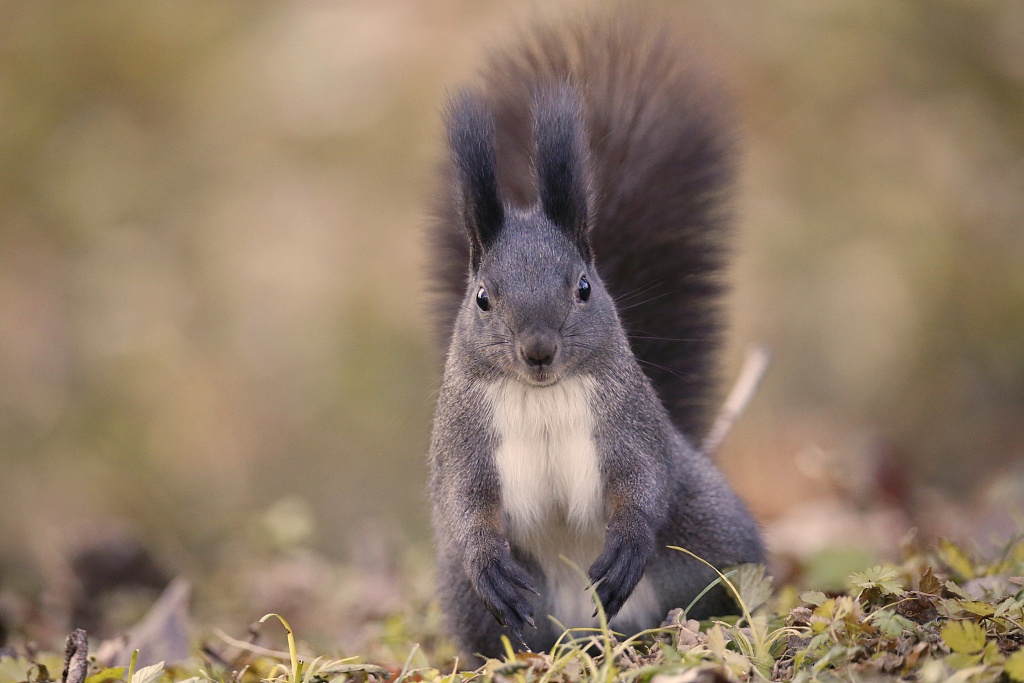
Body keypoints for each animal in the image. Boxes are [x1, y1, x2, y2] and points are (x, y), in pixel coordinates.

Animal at [425, 15, 770, 659]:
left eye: (584, 287)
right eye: (482, 298)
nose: (538, 351)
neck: (540, 396)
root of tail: (596, 636)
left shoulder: (629, 421)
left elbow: (644, 479)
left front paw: (627, 543)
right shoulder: (463, 438)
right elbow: (462, 501)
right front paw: (487, 559)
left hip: (709, 533)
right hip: (469, 599)